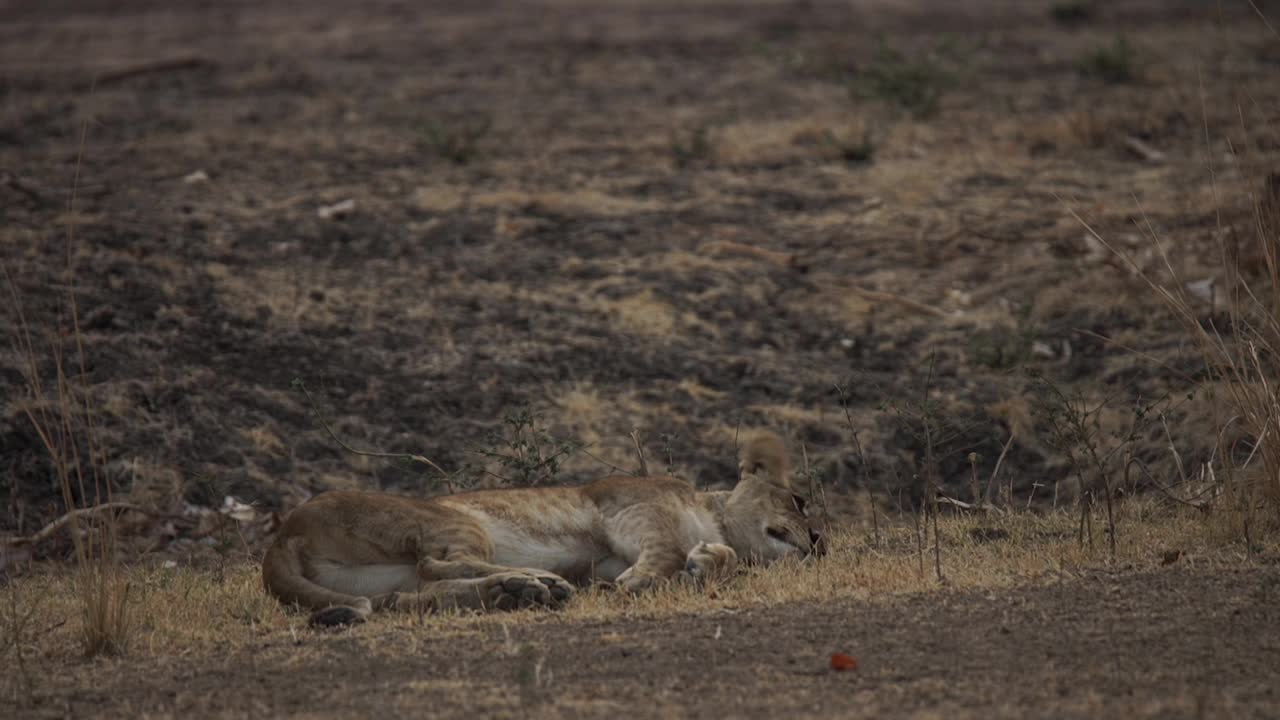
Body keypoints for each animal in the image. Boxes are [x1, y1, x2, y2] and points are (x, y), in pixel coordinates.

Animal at [262, 427, 819, 625]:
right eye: (799, 500)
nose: (821, 542)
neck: (711, 511)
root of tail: (286, 531)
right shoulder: (628, 510)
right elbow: (662, 549)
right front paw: (647, 580)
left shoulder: (607, 558)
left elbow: (722, 558)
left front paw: (707, 562)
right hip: (454, 521)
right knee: (434, 565)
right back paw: (539, 582)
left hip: (375, 583)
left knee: (414, 594)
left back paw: (520, 592)